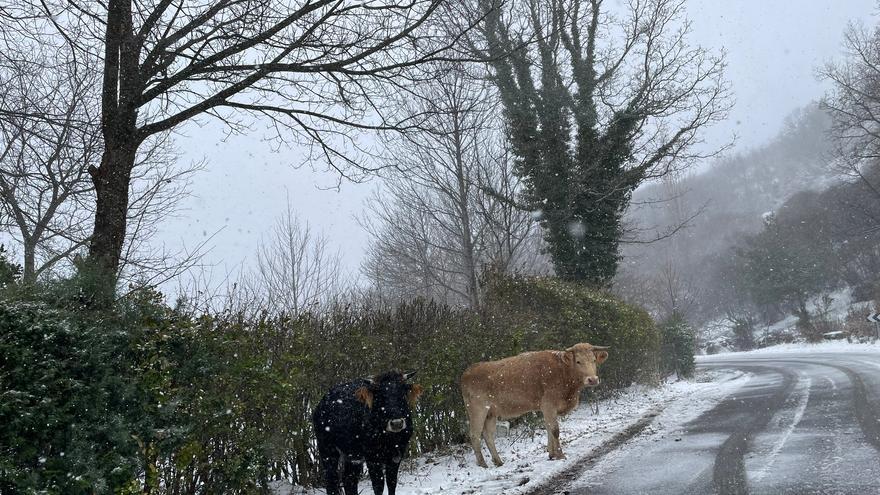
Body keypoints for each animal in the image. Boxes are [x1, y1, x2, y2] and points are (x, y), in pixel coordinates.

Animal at [458, 344, 608, 468]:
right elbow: (555, 430)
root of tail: (468, 371)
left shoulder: (546, 408)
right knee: (475, 435)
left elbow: (548, 428)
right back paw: (482, 463)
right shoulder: (549, 404)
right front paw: (560, 455)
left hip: (491, 413)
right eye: (578, 361)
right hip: (477, 410)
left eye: (594, 360)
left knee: (488, 435)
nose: (593, 379)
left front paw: (552, 454)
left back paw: (498, 461)